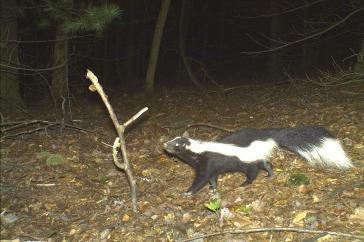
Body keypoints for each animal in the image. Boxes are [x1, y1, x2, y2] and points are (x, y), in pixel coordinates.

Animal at [164, 125, 352, 196]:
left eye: (175, 145)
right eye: (172, 140)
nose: (164, 145)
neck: (197, 150)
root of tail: (265, 135)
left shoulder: (208, 162)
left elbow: (202, 179)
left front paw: (188, 192)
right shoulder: (209, 167)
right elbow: (211, 178)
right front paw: (213, 189)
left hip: (246, 159)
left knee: (253, 172)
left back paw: (244, 184)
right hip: (254, 155)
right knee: (266, 164)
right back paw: (270, 175)